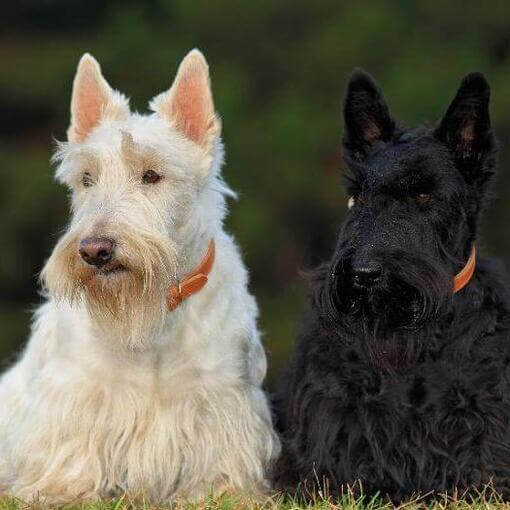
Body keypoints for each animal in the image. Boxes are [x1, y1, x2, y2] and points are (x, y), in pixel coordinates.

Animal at [0, 49, 278, 504]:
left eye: (151, 175)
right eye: (87, 178)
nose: (95, 251)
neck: (152, 316)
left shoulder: (220, 397)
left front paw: (220, 492)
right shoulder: (76, 394)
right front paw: (63, 491)